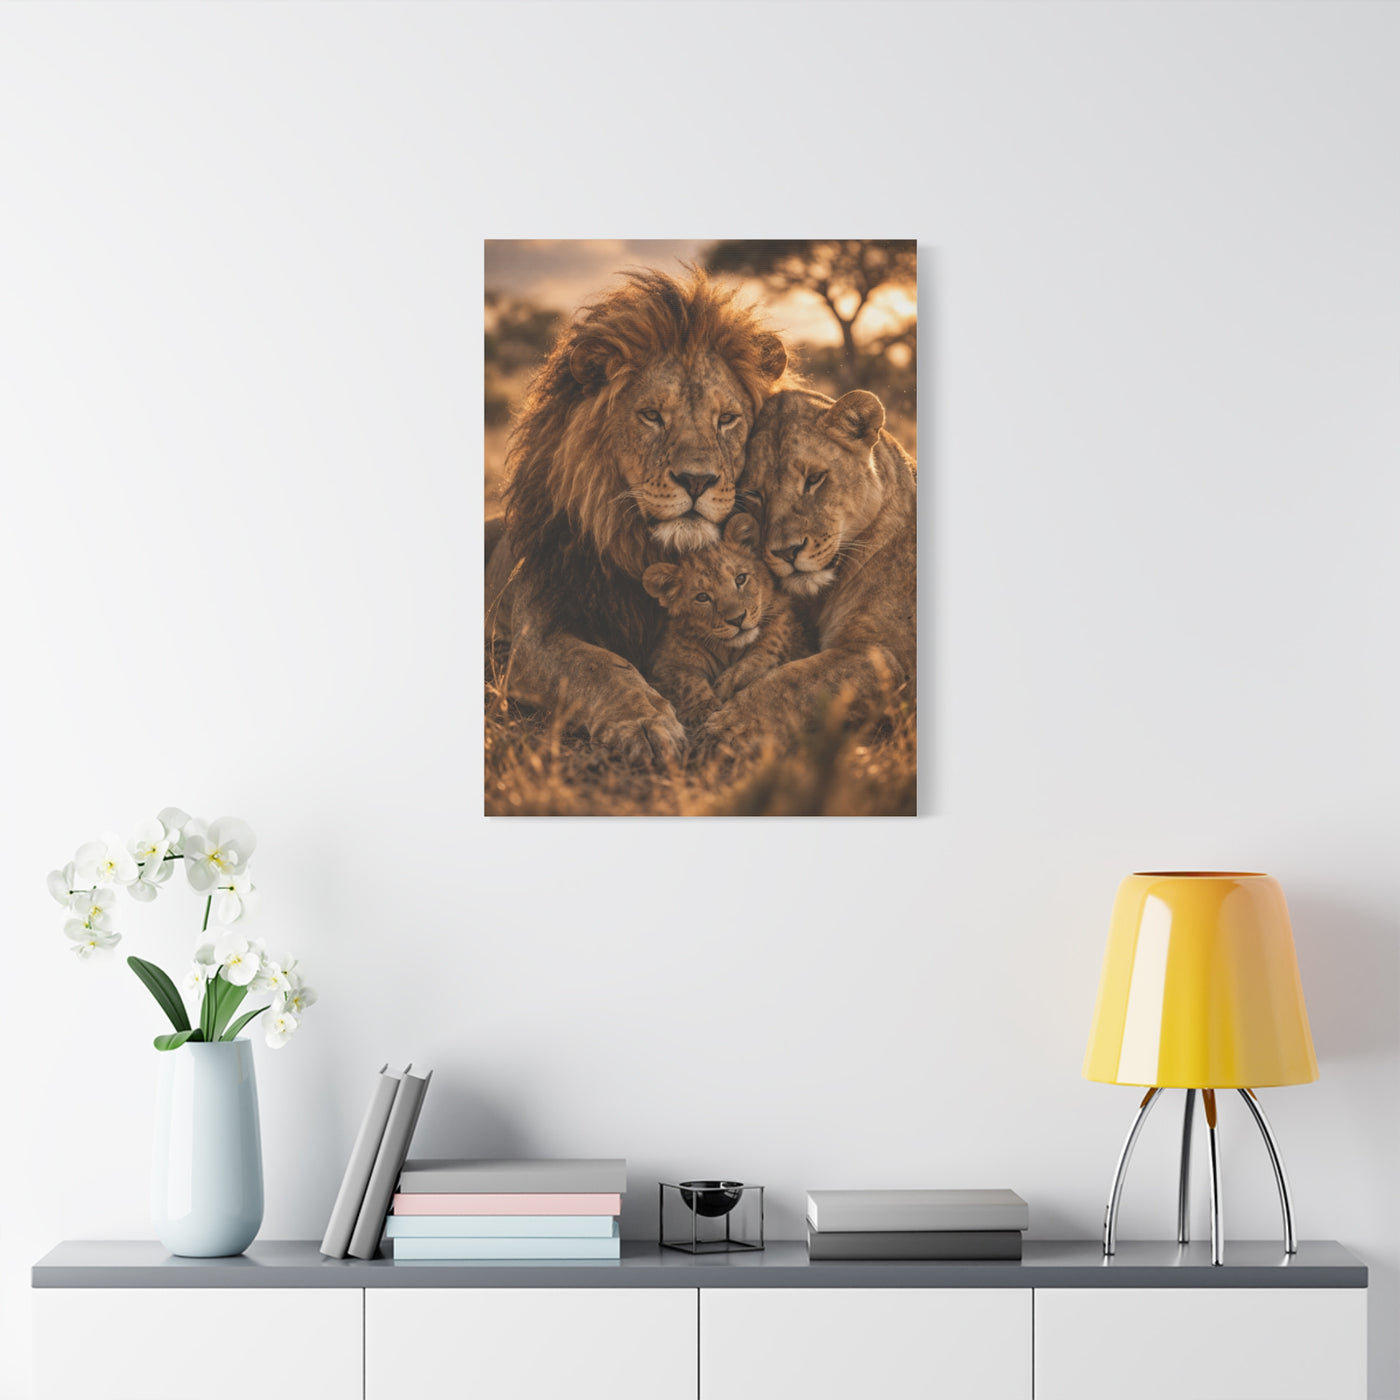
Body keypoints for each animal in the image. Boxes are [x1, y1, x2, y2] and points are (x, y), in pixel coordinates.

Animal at [485, 269, 789, 764]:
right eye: (650, 416)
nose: (697, 480)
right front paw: (645, 722)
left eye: (727, 419)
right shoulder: (536, 634)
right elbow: (601, 666)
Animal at [641, 513, 811, 727]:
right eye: (702, 597)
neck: (727, 651)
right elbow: (683, 679)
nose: (737, 619)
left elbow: (761, 657)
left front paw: (725, 685)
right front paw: (702, 708)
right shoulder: (661, 666)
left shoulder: (784, 632)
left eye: (740, 579)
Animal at [695, 387, 916, 754]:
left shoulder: (890, 657)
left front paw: (728, 727)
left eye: (814, 479)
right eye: (755, 494)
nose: (787, 551)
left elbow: (797, 681)